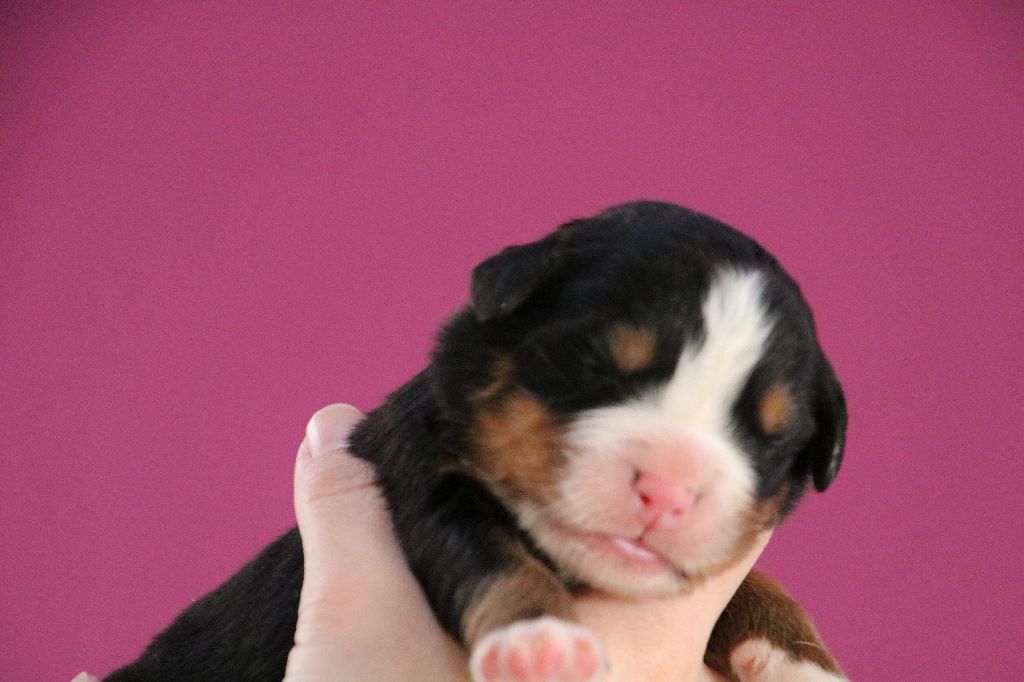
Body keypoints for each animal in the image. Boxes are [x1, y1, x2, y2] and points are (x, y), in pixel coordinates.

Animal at [110, 200, 847, 679]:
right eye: (594, 366)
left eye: (768, 437)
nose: (667, 490)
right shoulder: (424, 480)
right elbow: (497, 558)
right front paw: (543, 645)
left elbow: (751, 579)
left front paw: (801, 659)